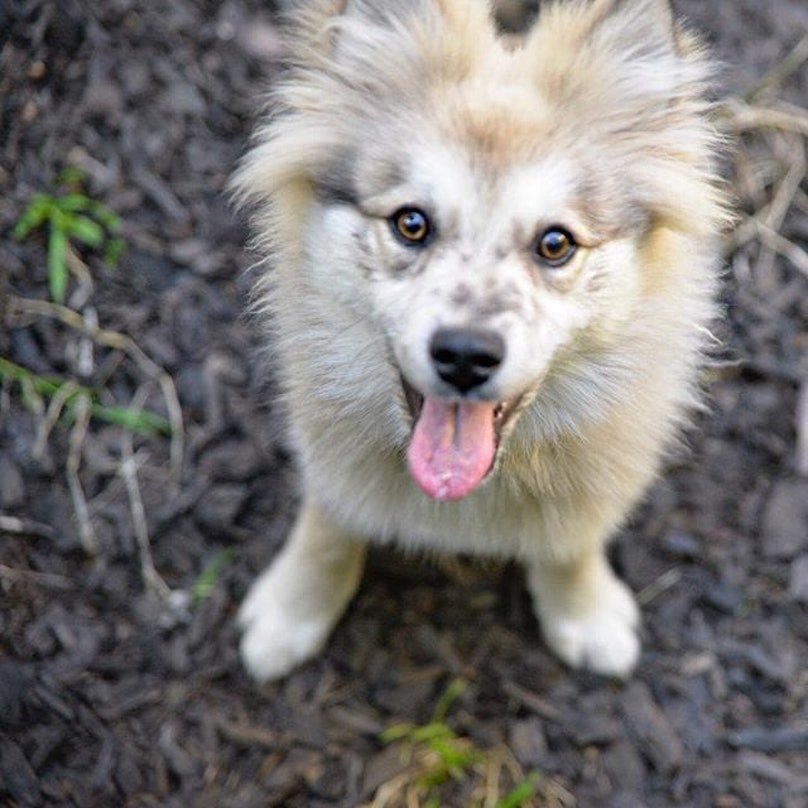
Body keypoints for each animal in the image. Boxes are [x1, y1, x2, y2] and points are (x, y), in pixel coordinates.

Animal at [232, 0, 724, 680]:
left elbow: (572, 543)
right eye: (411, 223)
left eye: (556, 243)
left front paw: (585, 613)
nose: (465, 356)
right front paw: (292, 609)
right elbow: (329, 526)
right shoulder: (327, 449)